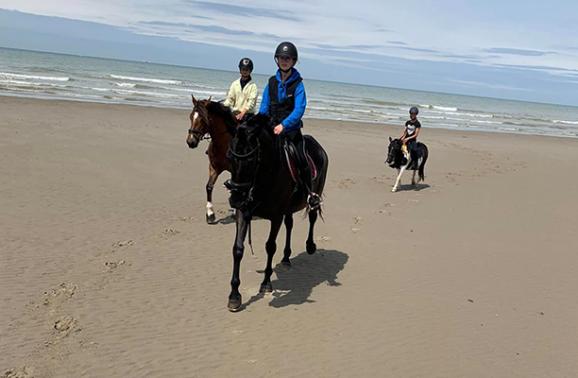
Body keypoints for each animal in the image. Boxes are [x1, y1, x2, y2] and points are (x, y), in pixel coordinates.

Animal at [223, 113, 326, 312]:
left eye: (251, 160)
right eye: (229, 157)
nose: (235, 199)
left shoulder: (276, 216)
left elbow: (270, 246)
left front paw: (266, 283)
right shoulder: (244, 212)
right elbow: (238, 249)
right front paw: (234, 296)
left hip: (314, 194)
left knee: (312, 217)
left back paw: (310, 246)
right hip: (289, 208)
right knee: (290, 225)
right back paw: (286, 258)